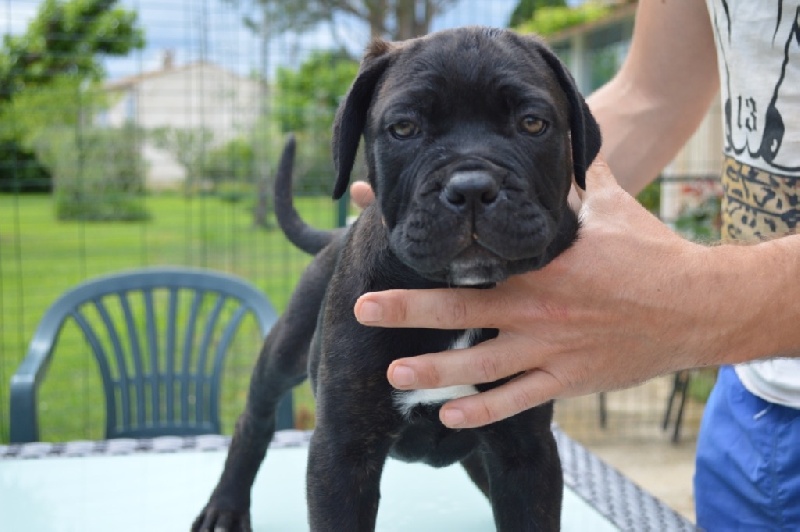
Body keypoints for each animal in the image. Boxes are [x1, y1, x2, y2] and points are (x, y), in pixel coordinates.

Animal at [194, 28, 596, 532]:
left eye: (532, 123)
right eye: (404, 129)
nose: (470, 187)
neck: (455, 294)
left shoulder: (525, 448)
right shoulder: (342, 453)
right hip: (284, 350)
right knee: (255, 419)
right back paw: (226, 505)